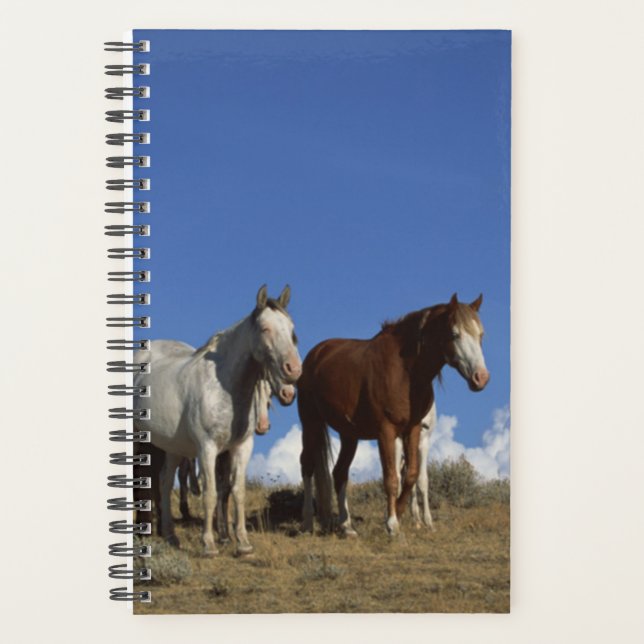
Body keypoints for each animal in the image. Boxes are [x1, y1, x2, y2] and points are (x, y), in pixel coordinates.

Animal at [134, 285, 301, 556]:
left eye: (291, 328)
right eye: (265, 328)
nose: (294, 370)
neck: (225, 388)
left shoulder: (241, 447)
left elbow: (237, 491)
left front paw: (242, 544)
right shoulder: (207, 448)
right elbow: (210, 493)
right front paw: (209, 544)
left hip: (172, 447)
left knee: (165, 481)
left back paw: (171, 536)